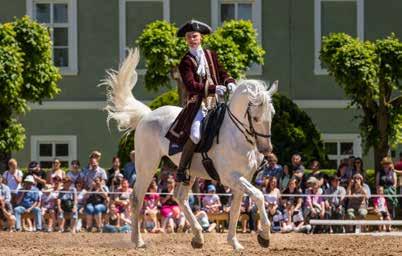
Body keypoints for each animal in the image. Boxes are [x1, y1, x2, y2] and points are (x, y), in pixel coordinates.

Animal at [103, 48, 278, 250]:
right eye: (255, 118)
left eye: (272, 114)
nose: (266, 149)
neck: (238, 135)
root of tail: (147, 115)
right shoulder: (231, 177)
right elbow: (259, 195)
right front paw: (264, 236)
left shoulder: (243, 179)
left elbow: (235, 210)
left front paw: (235, 243)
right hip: (147, 166)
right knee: (136, 198)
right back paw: (138, 241)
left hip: (188, 171)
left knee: (179, 197)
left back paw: (197, 236)